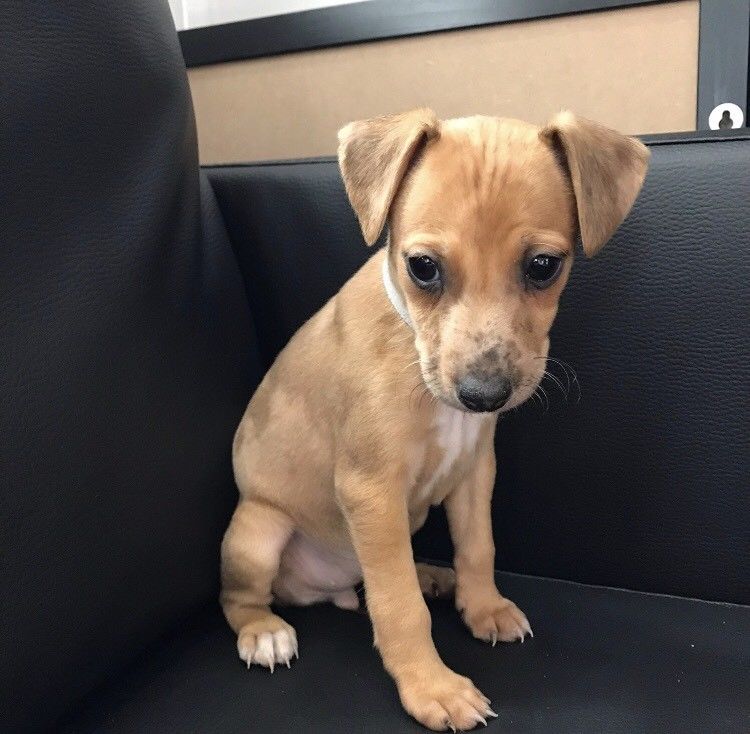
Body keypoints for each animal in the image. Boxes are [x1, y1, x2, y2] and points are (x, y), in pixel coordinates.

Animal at [220, 108, 648, 732]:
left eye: (544, 267)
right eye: (422, 268)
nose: (483, 395)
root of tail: (321, 590)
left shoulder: (474, 471)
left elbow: (477, 548)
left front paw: (483, 606)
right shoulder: (371, 490)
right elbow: (399, 607)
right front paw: (432, 687)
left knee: (376, 579)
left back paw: (430, 575)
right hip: (258, 531)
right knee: (246, 596)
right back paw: (263, 632)